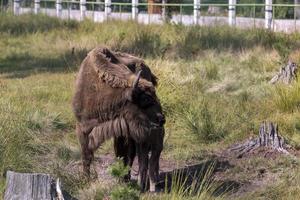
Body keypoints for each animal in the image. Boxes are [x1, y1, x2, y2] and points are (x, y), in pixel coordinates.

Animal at [73, 47, 166, 192]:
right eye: (145, 99)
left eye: (155, 96)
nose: (161, 119)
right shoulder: (82, 127)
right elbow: (86, 155)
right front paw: (85, 180)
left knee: (138, 154)